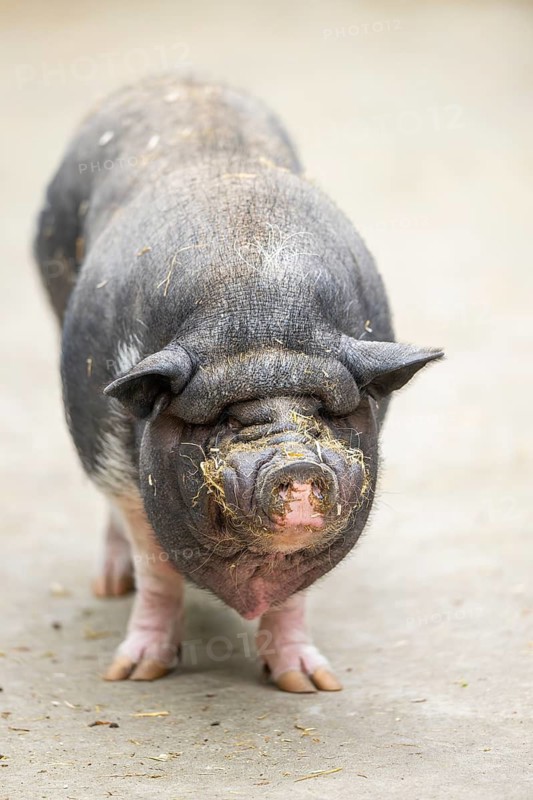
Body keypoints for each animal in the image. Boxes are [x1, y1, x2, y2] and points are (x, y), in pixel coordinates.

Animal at [34, 74, 443, 692]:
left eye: (323, 414)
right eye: (228, 418)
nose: (297, 467)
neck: (258, 316)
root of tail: (175, 78)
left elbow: (294, 591)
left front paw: (310, 684)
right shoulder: (110, 451)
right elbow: (157, 566)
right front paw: (134, 675)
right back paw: (109, 587)